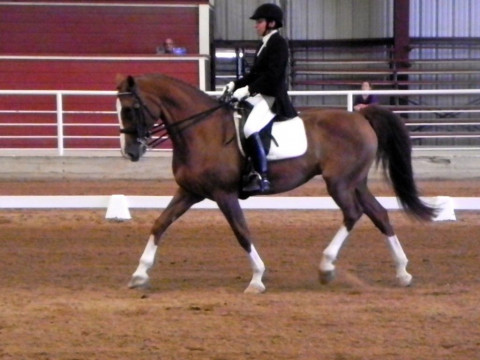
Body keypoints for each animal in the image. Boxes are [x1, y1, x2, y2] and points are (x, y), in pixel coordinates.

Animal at [115, 72, 436, 292]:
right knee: (379, 215)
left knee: (353, 213)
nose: (130, 152)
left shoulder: (223, 194)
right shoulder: (189, 192)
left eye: (131, 109)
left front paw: (257, 278)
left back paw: (326, 267)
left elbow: (241, 232)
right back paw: (402, 272)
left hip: (340, 183)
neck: (201, 130)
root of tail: (361, 117)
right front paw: (139, 274)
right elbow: (160, 224)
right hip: (356, 182)